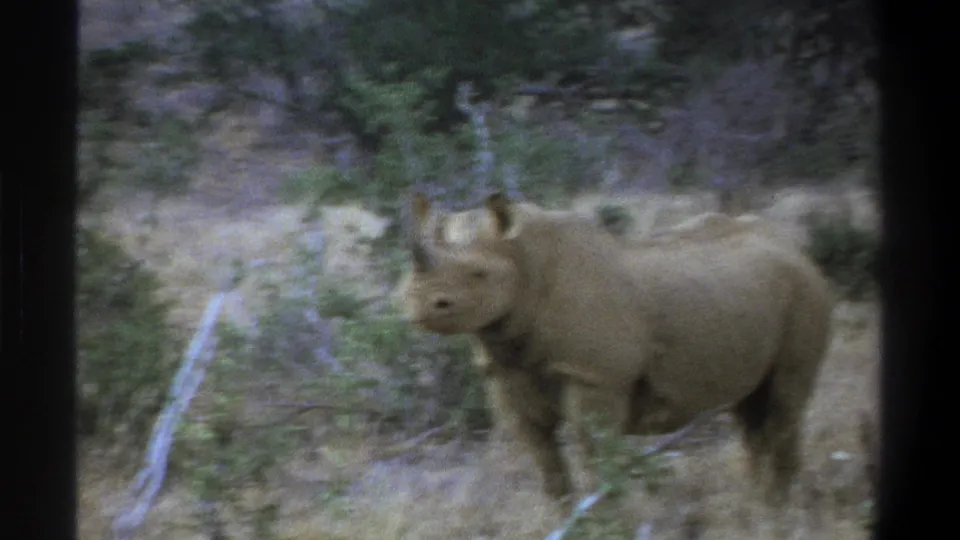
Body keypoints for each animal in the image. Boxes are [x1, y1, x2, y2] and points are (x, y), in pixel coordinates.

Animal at [398, 192, 834, 510]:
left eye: (479, 274)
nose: (419, 304)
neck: (522, 259)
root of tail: (795, 247)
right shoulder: (508, 372)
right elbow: (546, 464)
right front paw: (564, 517)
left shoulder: (595, 376)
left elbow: (594, 457)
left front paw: (604, 519)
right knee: (752, 412)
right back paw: (758, 504)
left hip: (807, 292)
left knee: (784, 403)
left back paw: (776, 512)